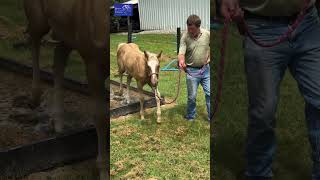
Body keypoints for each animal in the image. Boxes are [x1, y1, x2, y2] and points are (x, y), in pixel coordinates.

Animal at [23, 0, 109, 179]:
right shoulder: (93, 66)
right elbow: (101, 117)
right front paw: (104, 170)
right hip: (39, 18)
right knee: (34, 37)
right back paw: (34, 97)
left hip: (67, 29)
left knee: (59, 55)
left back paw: (58, 123)